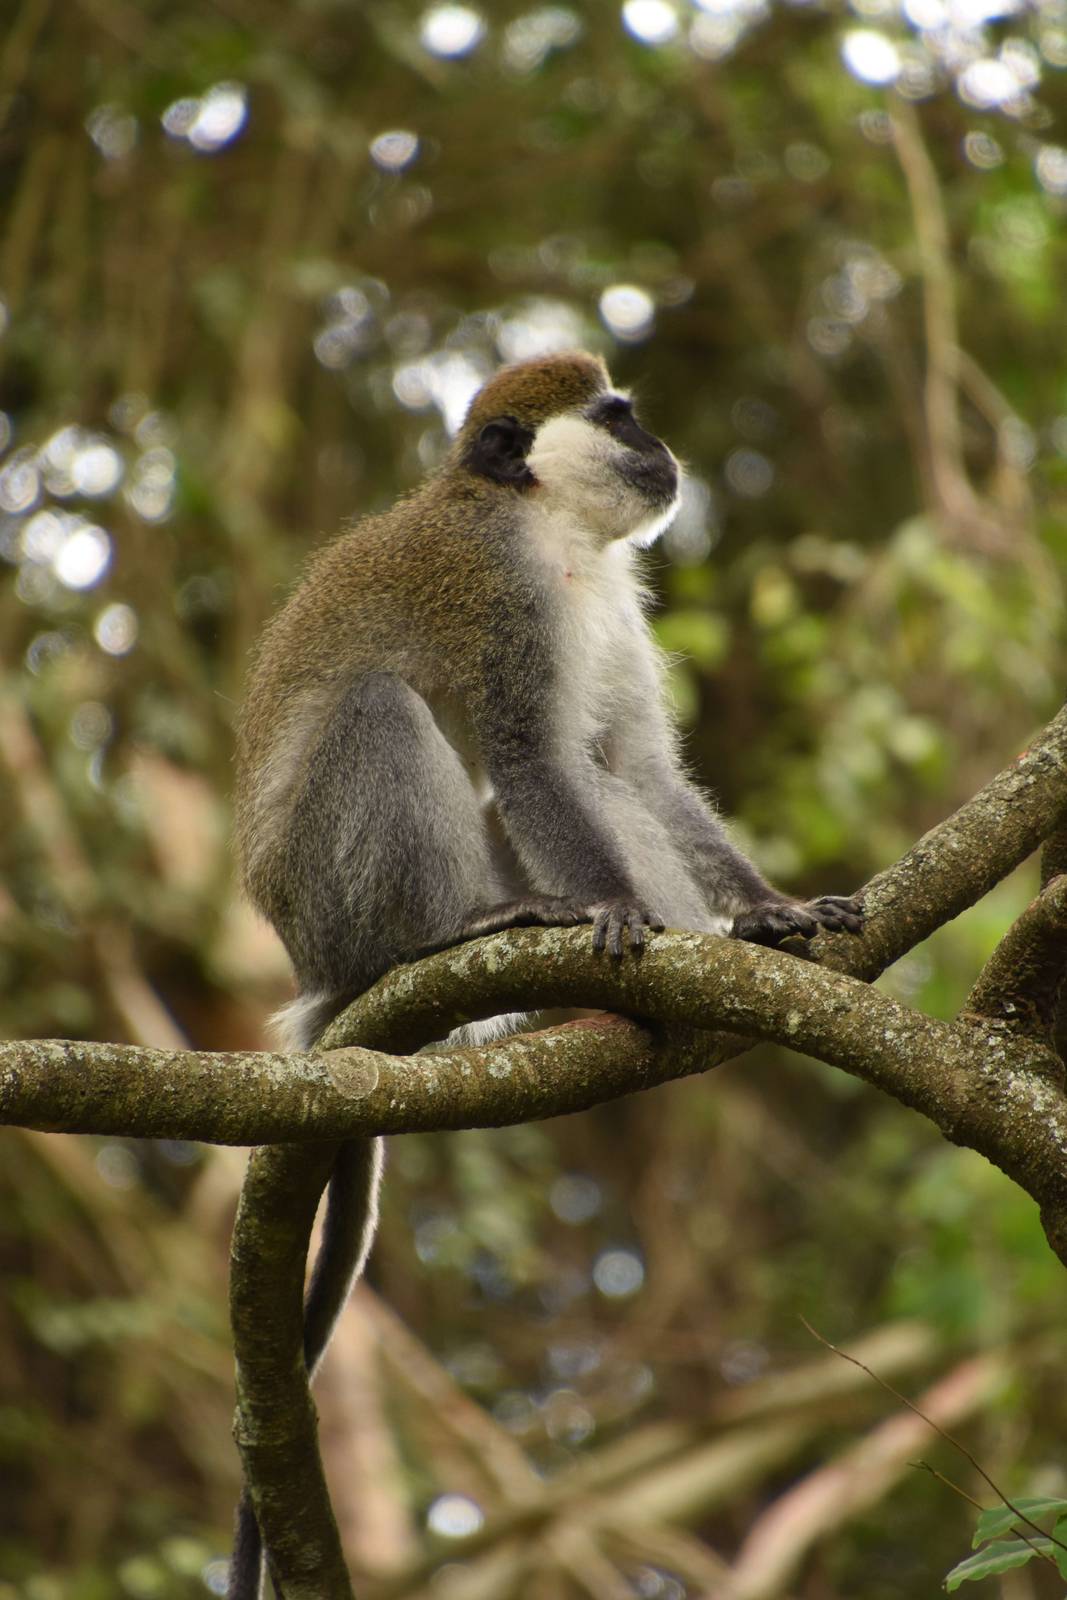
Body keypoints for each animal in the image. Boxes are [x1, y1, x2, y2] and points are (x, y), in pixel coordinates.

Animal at [228, 350, 862, 1594]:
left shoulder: (610, 604)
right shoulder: (504, 593)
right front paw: (613, 908)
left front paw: (764, 913)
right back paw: (454, 932)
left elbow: (630, 767)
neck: (553, 528)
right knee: (381, 706)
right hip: (334, 896)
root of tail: (314, 964)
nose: (663, 450)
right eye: (617, 418)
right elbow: (529, 755)